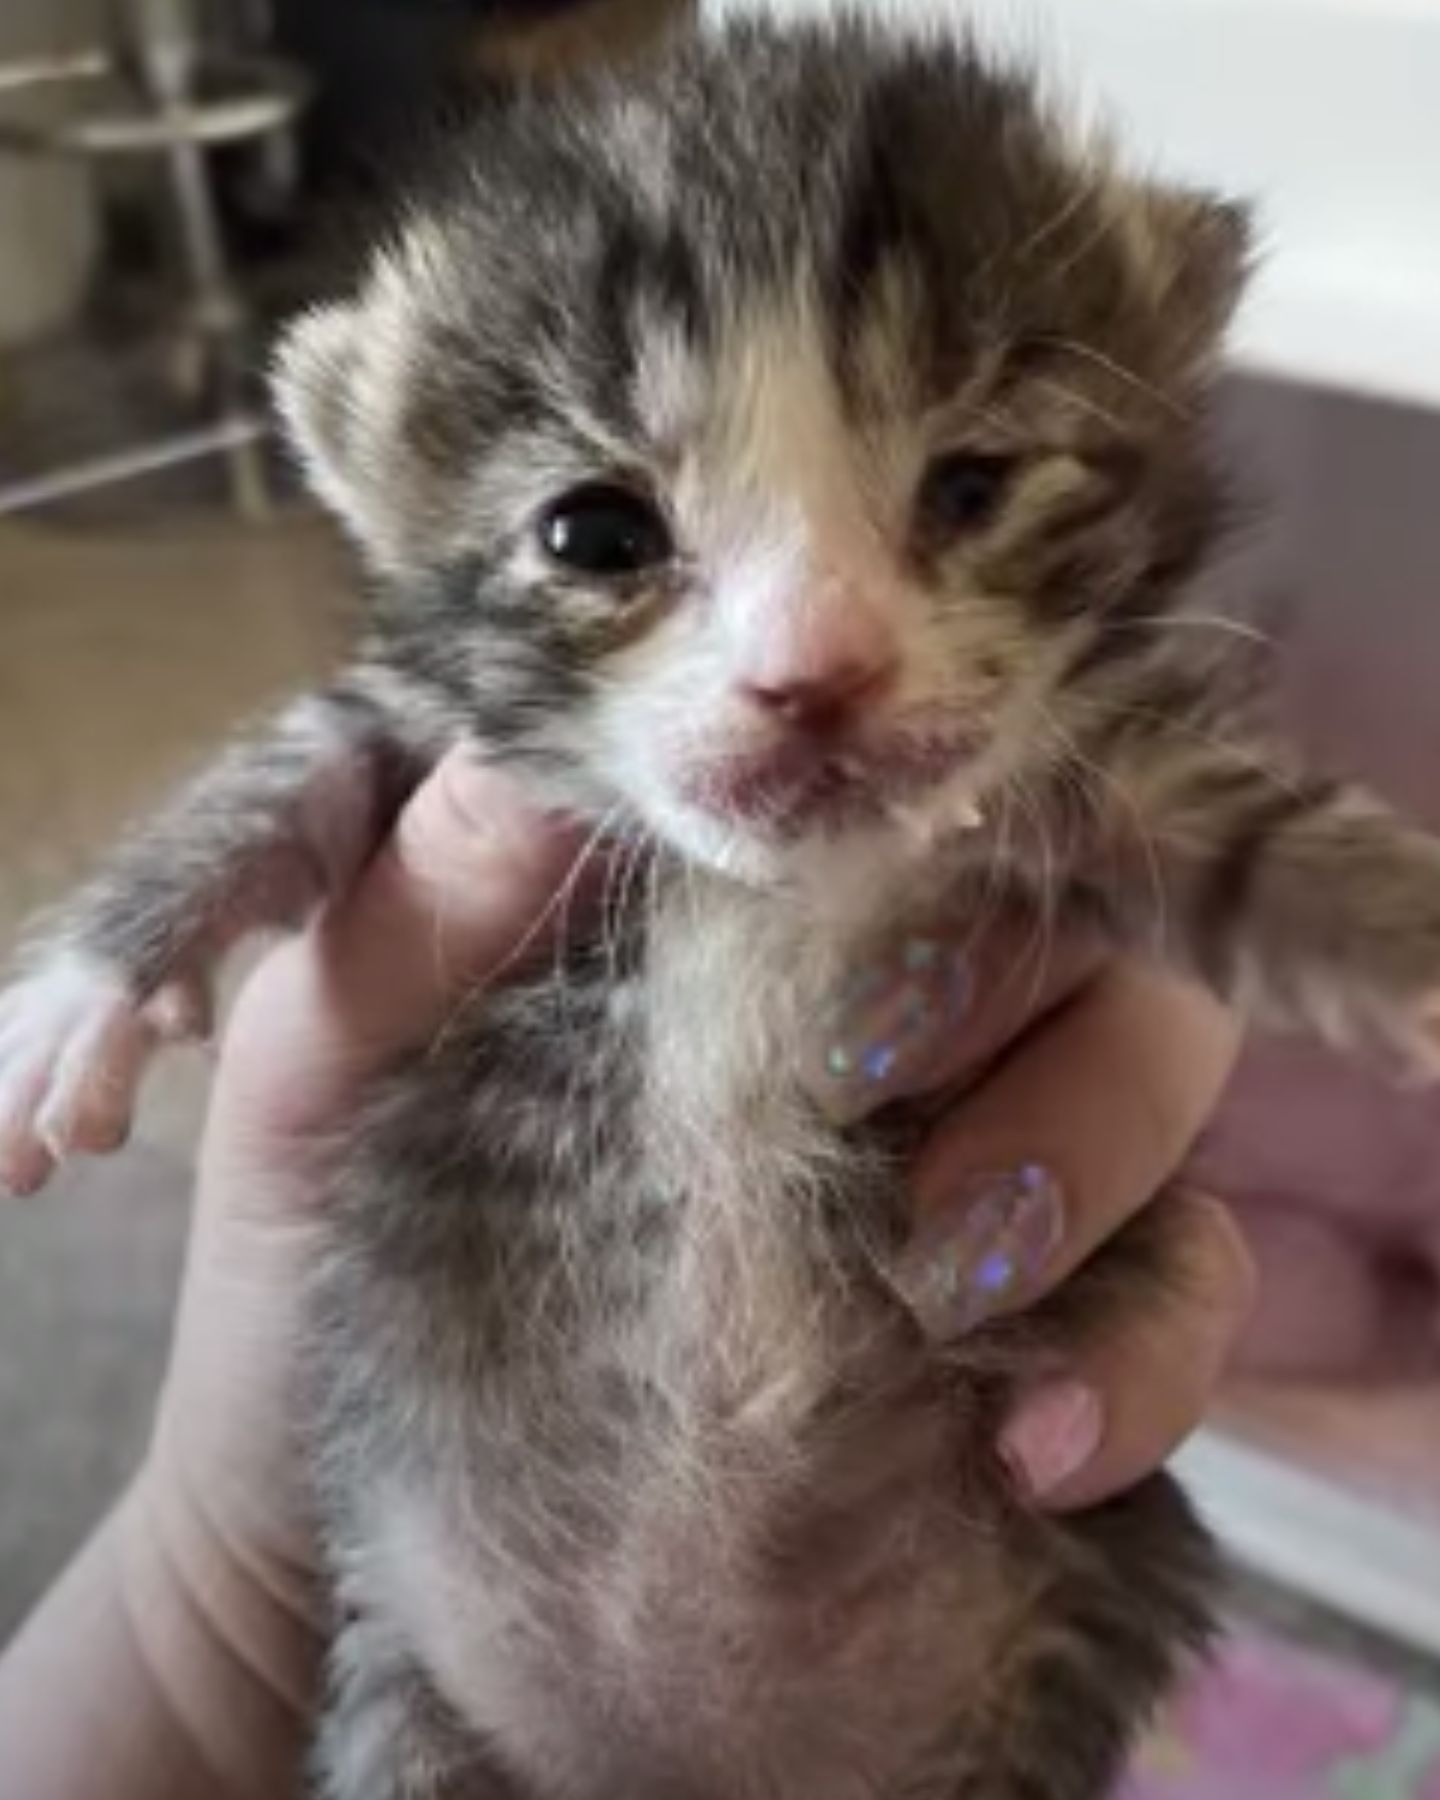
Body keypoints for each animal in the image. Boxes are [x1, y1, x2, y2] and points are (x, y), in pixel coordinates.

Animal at [2, 7, 1440, 1792]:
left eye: (974, 484)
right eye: (597, 530)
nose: (813, 676)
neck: (779, 893)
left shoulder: (1101, 777)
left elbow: (1255, 840)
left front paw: (1419, 952)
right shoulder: (425, 738)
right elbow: (268, 784)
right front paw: (71, 1008)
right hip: (408, 1689)